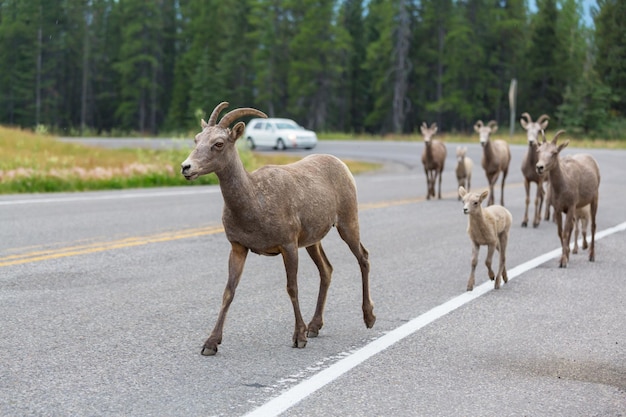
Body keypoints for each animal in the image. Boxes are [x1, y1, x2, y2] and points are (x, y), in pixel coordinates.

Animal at [180, 102, 376, 356]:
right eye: (197, 139)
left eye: (219, 143)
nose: (186, 167)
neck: (254, 202)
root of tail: (343, 165)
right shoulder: (238, 247)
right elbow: (228, 292)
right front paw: (210, 344)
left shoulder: (288, 246)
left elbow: (292, 288)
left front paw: (299, 338)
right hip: (313, 241)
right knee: (327, 270)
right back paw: (315, 326)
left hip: (347, 223)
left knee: (363, 257)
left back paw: (369, 318)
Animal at [532, 129, 600, 266]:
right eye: (538, 151)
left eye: (554, 152)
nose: (539, 167)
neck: (562, 186)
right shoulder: (558, 209)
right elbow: (560, 232)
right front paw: (565, 257)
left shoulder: (571, 206)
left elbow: (565, 232)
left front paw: (563, 262)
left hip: (594, 199)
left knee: (593, 226)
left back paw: (591, 256)